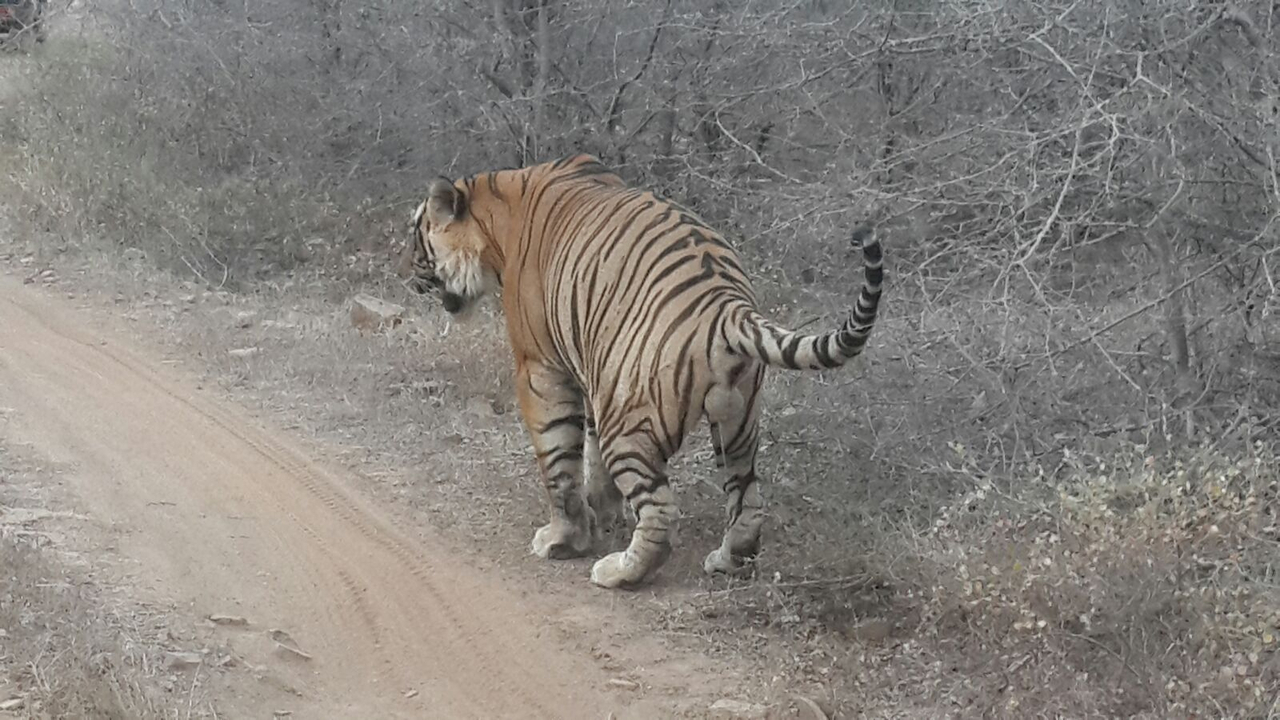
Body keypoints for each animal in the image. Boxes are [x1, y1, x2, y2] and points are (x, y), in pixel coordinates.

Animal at [401, 154, 883, 589]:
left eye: (415, 237)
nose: (409, 276)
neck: (497, 211)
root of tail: (727, 304)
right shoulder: (597, 369)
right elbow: (590, 453)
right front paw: (603, 510)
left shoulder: (542, 368)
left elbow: (559, 464)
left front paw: (564, 539)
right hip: (737, 422)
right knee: (746, 497)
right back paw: (728, 561)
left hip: (632, 424)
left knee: (661, 509)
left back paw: (620, 571)